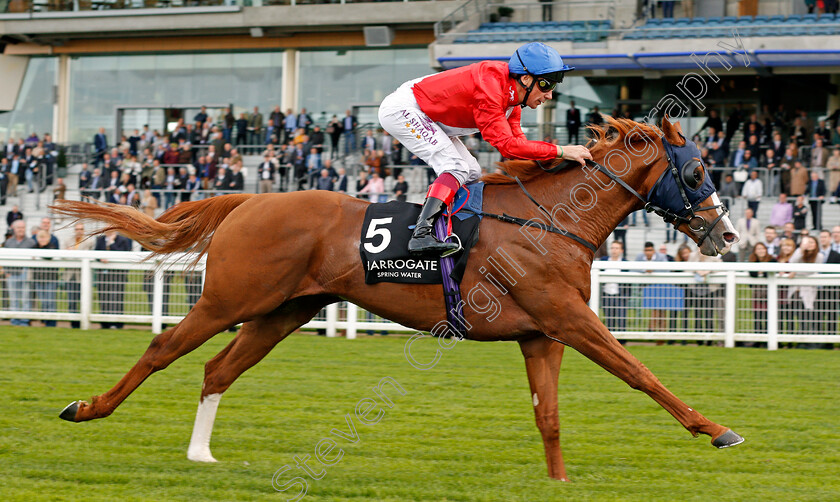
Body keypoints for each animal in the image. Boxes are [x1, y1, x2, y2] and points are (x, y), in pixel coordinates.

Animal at [50, 117, 740, 482]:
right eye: (698, 171)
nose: (727, 234)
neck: (552, 219)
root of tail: (249, 200)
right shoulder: (569, 318)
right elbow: (640, 372)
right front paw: (717, 430)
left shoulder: (541, 335)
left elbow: (548, 414)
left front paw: (560, 482)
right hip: (230, 299)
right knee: (163, 347)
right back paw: (87, 408)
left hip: (282, 312)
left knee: (218, 368)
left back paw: (201, 452)